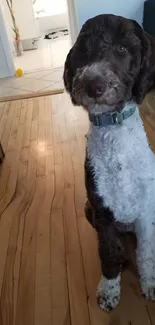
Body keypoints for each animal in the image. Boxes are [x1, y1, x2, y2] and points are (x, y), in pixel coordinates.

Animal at [63, 14, 155, 312]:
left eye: (122, 49)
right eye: (83, 51)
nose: (93, 85)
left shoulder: (146, 213)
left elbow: (146, 252)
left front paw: (149, 283)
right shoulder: (102, 214)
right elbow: (108, 253)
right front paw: (109, 289)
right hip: (88, 210)